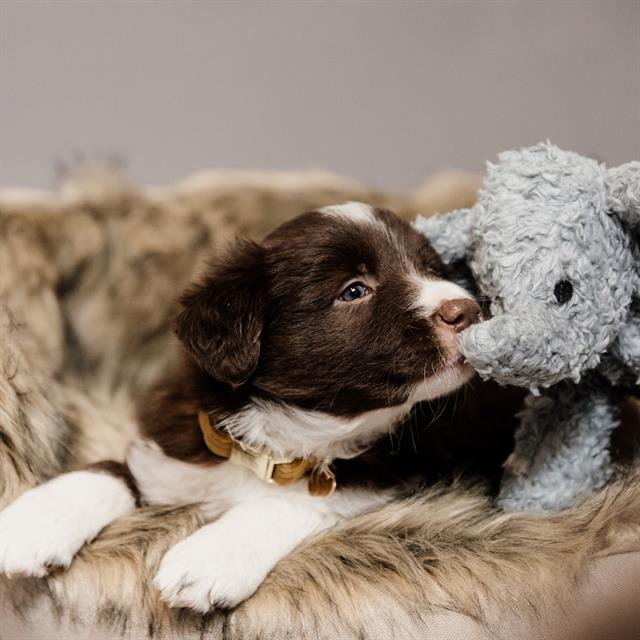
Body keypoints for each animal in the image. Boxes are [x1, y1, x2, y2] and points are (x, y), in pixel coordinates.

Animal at [0, 202, 480, 612]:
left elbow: (293, 502)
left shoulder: (395, 481)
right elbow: (112, 470)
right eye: (354, 290)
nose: (469, 310)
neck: (279, 441)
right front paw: (33, 524)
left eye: (432, 270)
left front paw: (208, 558)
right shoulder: (171, 455)